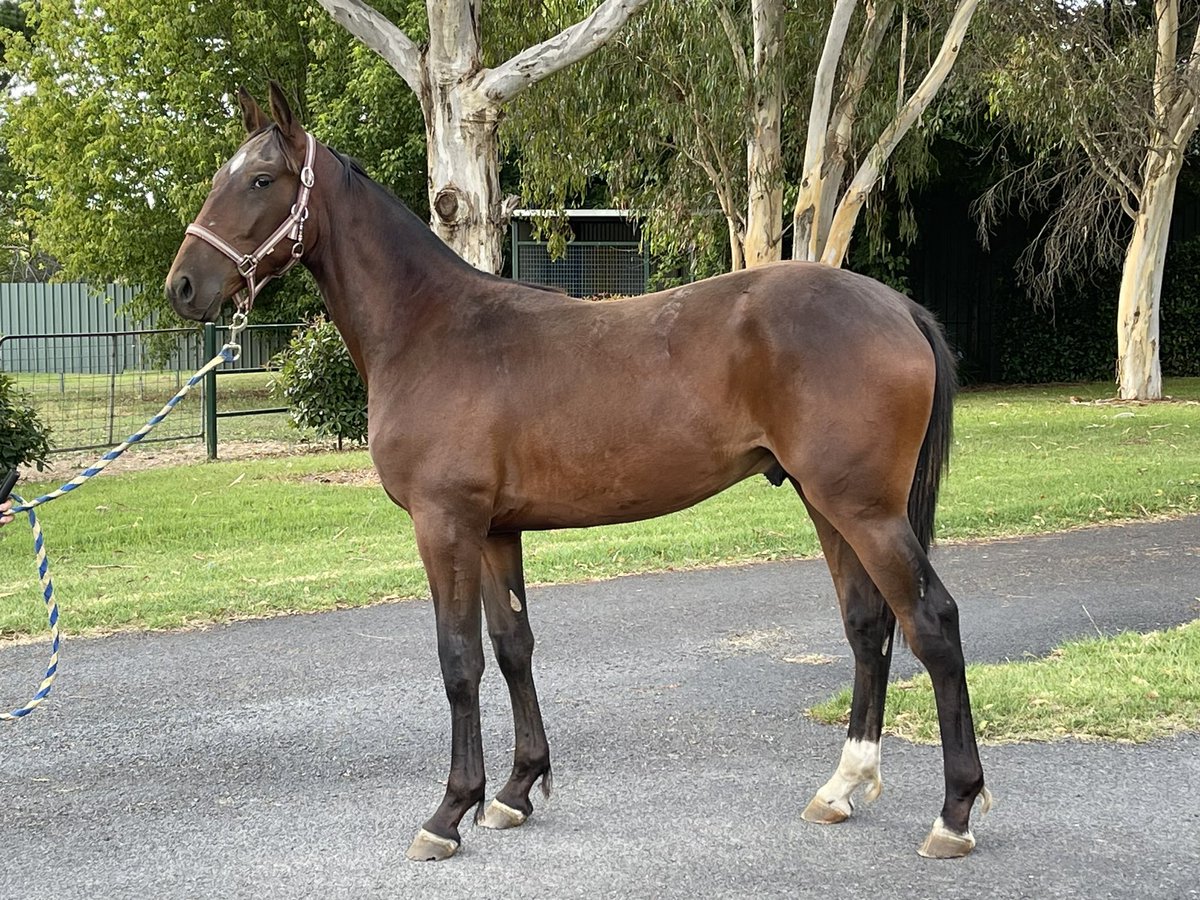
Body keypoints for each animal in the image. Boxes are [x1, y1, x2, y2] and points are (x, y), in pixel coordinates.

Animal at [166, 84, 990, 862]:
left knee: (933, 623)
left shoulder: (445, 524)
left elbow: (458, 660)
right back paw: (843, 787)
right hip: (829, 504)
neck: (430, 329)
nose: (183, 287)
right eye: (222, 176)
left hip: (864, 510)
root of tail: (899, 309)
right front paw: (514, 792)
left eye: (261, 179)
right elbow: (512, 648)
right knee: (868, 624)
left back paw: (953, 815)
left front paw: (448, 813)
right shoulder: (495, 532)